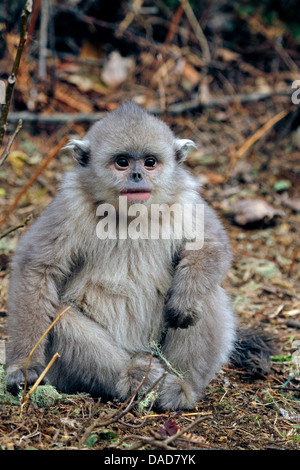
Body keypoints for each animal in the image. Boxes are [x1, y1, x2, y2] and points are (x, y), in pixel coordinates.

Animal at [4, 101, 274, 410]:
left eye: (150, 162)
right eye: (122, 162)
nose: (137, 176)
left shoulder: (186, 199)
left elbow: (209, 245)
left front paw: (184, 299)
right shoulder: (71, 204)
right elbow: (37, 268)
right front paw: (23, 366)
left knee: (205, 297)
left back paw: (181, 388)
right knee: (61, 315)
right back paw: (131, 375)